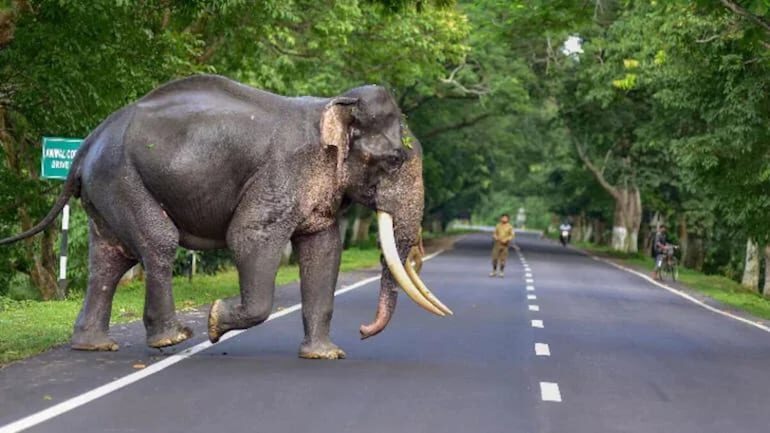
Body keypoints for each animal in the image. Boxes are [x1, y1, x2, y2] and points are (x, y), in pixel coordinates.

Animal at [0, 74, 452, 359]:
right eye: (394, 160)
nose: (362, 333)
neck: (332, 104)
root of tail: (87, 143)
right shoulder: (280, 174)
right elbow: (249, 237)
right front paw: (216, 321)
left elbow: (323, 250)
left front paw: (326, 355)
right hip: (121, 178)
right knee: (157, 241)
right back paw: (173, 338)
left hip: (106, 189)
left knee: (109, 259)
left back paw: (94, 346)